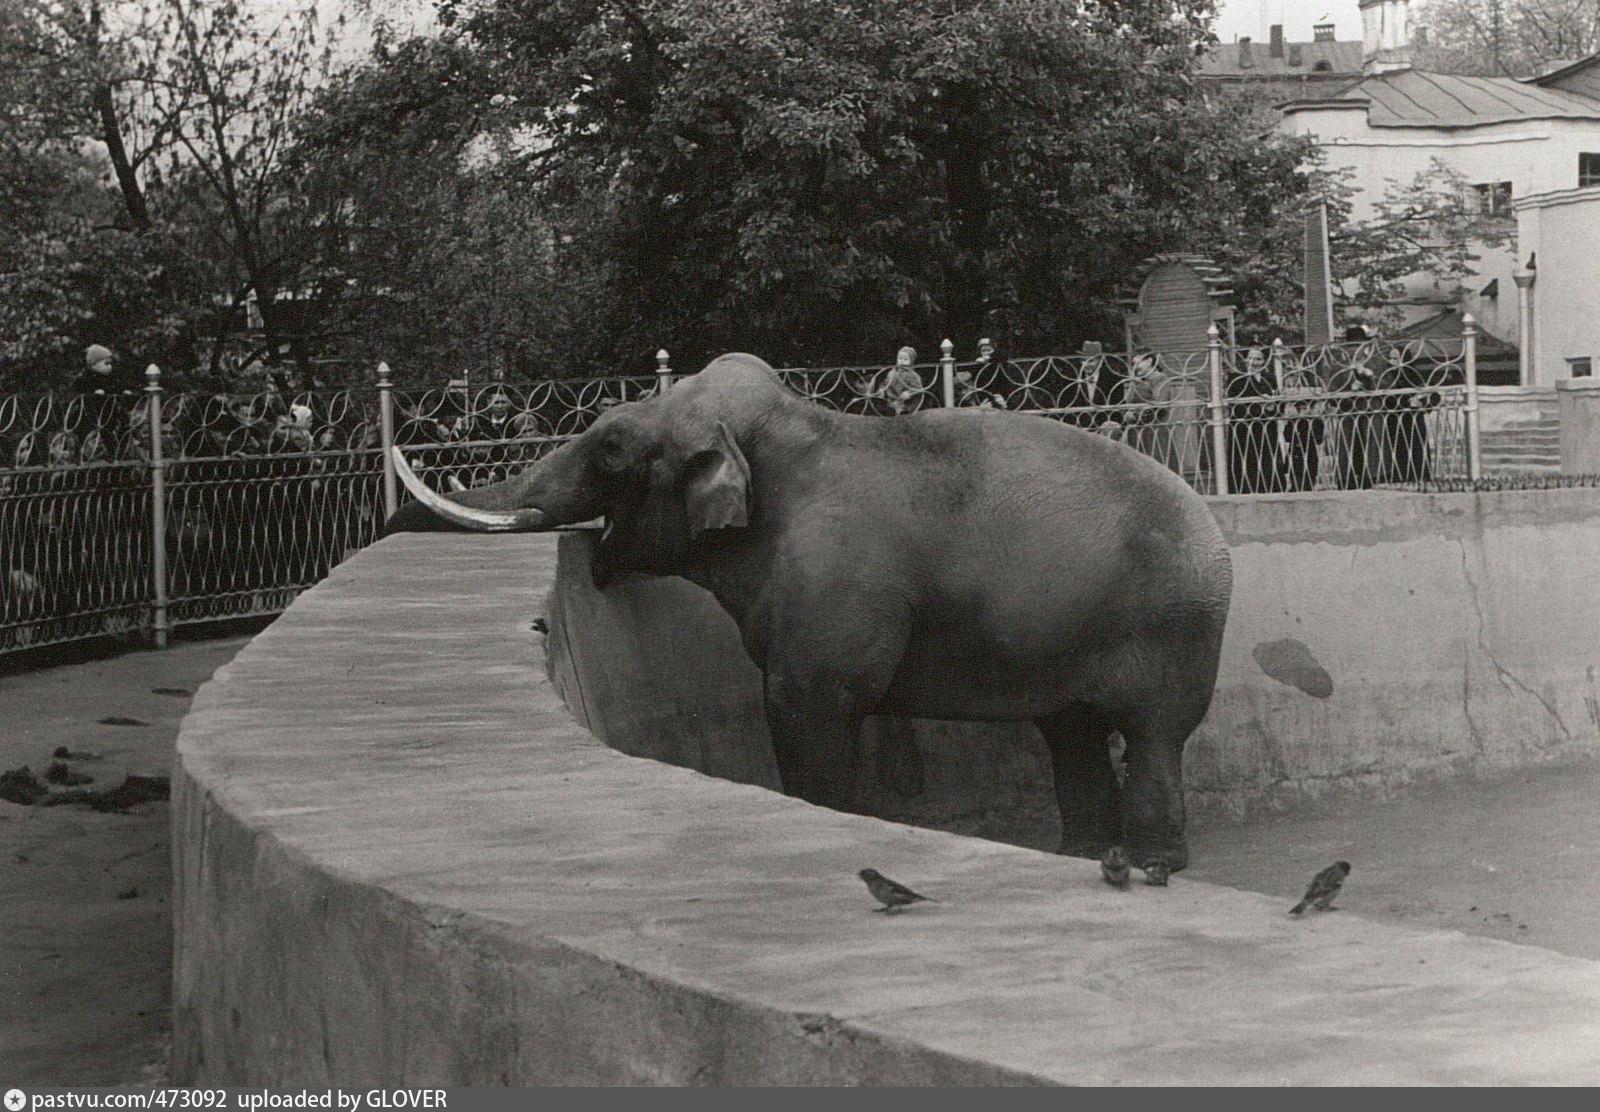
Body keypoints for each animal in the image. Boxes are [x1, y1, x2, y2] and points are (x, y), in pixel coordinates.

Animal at [390, 355, 1235, 870]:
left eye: (613, 450)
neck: (802, 425)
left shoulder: (833, 599)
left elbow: (811, 713)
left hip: (1173, 634)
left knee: (1153, 738)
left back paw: (1152, 866)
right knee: (1073, 734)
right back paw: (1080, 856)